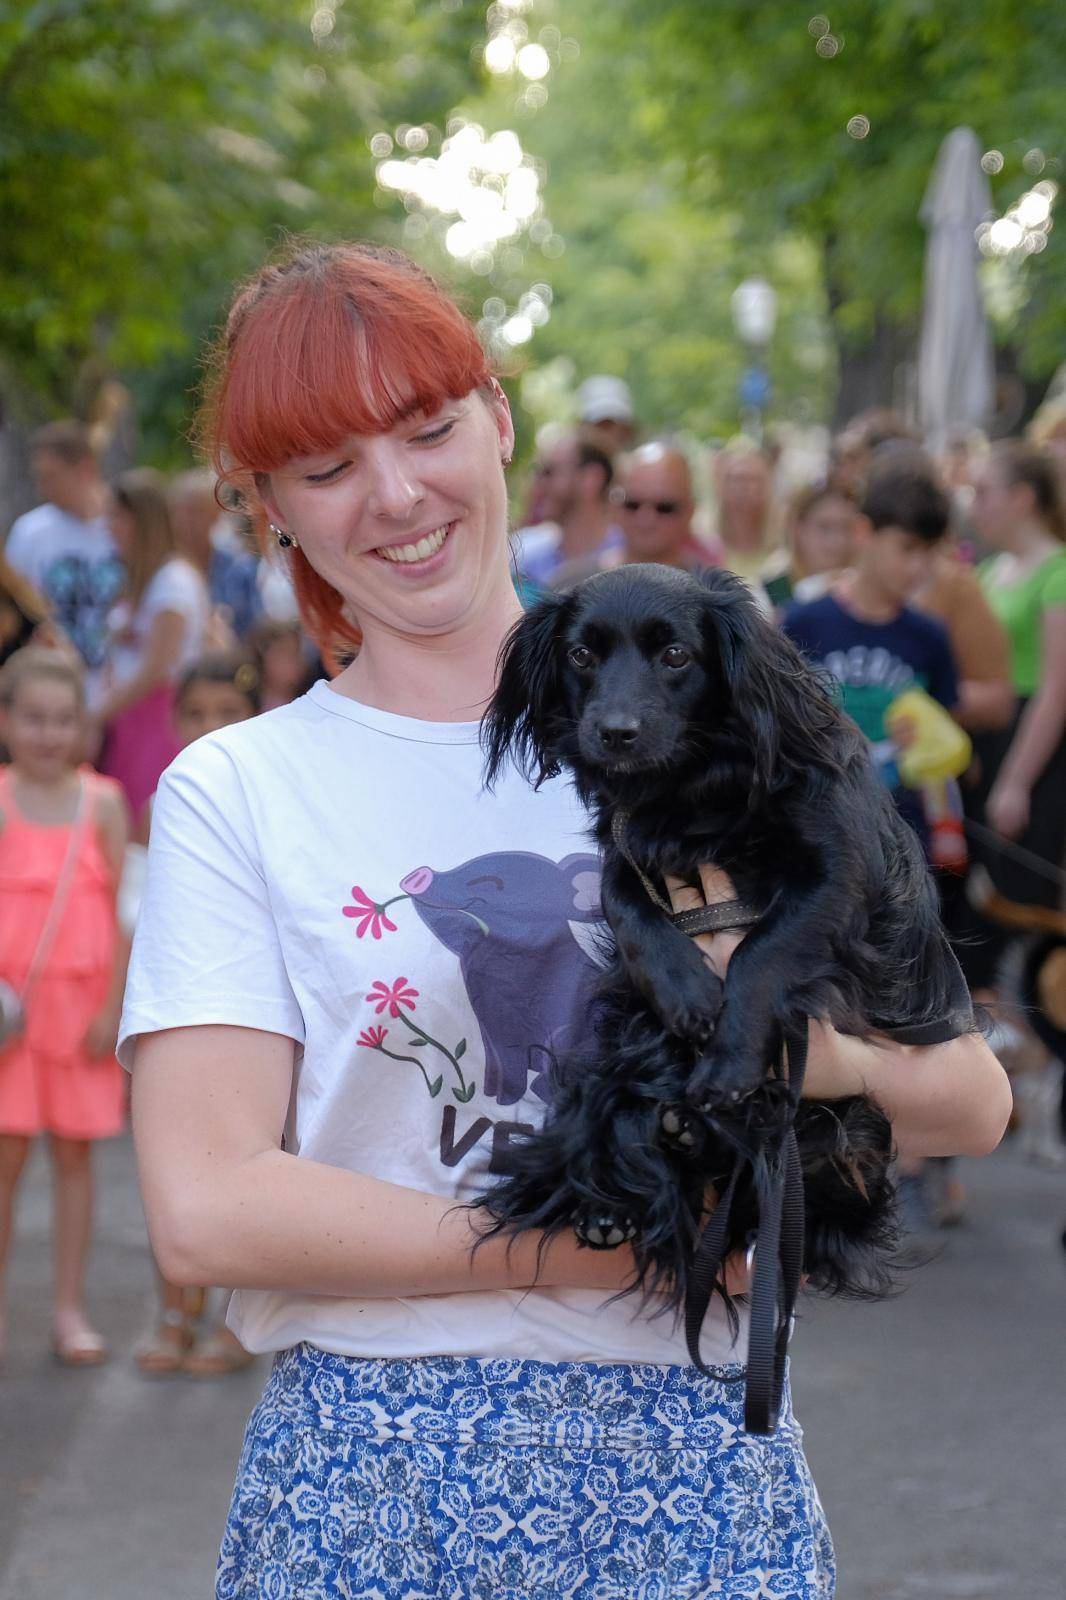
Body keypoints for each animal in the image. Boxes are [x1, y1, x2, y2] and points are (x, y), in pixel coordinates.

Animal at [476, 569, 966, 1420]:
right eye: (580, 655)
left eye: (676, 654)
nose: (616, 732)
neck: (692, 792)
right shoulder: (626, 849)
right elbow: (628, 908)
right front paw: (688, 994)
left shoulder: (834, 872)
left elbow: (764, 951)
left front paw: (730, 1053)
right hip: (614, 1062)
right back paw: (618, 1190)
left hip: (846, 1134)